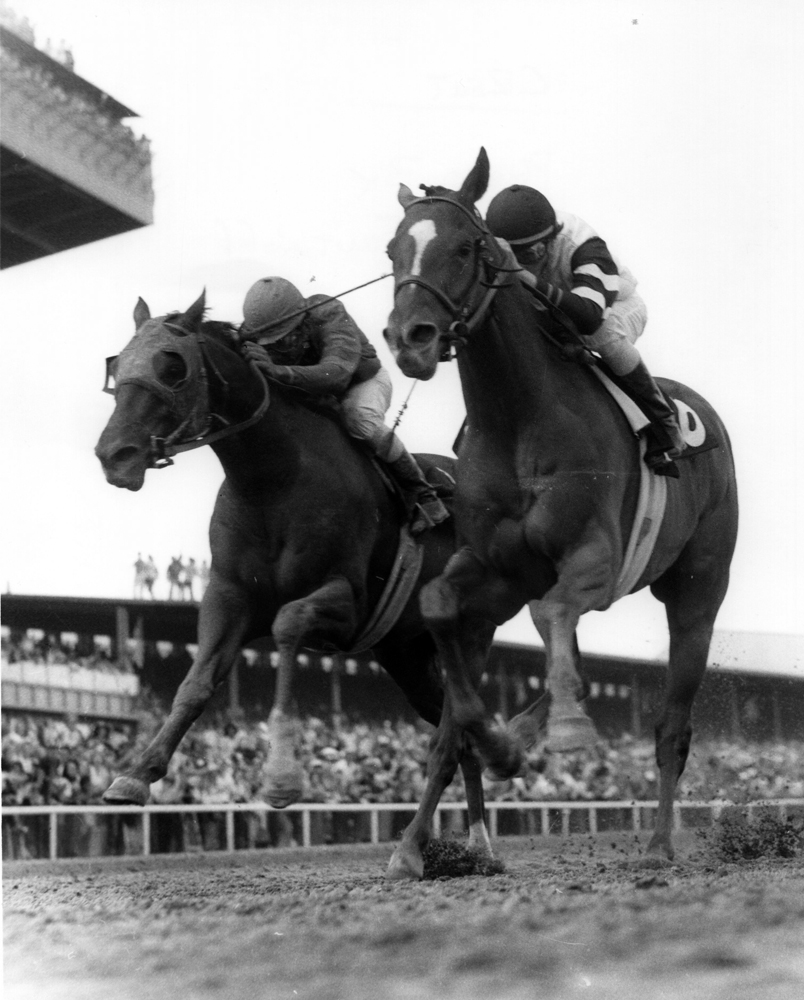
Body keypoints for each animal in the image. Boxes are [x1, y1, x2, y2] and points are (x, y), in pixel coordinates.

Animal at [386, 148, 740, 860]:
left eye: (465, 247)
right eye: (391, 251)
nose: (410, 337)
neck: (519, 418)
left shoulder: (591, 559)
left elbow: (554, 621)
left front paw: (556, 731)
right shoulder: (493, 566)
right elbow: (439, 611)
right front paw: (490, 752)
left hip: (698, 590)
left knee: (671, 725)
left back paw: (659, 841)